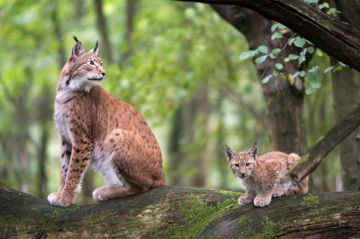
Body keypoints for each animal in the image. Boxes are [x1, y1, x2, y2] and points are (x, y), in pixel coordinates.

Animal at [47, 37, 165, 207]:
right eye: (91, 63)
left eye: (101, 63)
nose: (104, 73)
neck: (67, 90)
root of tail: (162, 175)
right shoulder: (65, 137)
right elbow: (64, 168)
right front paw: (60, 193)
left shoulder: (82, 138)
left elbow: (74, 169)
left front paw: (65, 198)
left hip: (117, 135)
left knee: (142, 187)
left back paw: (105, 192)